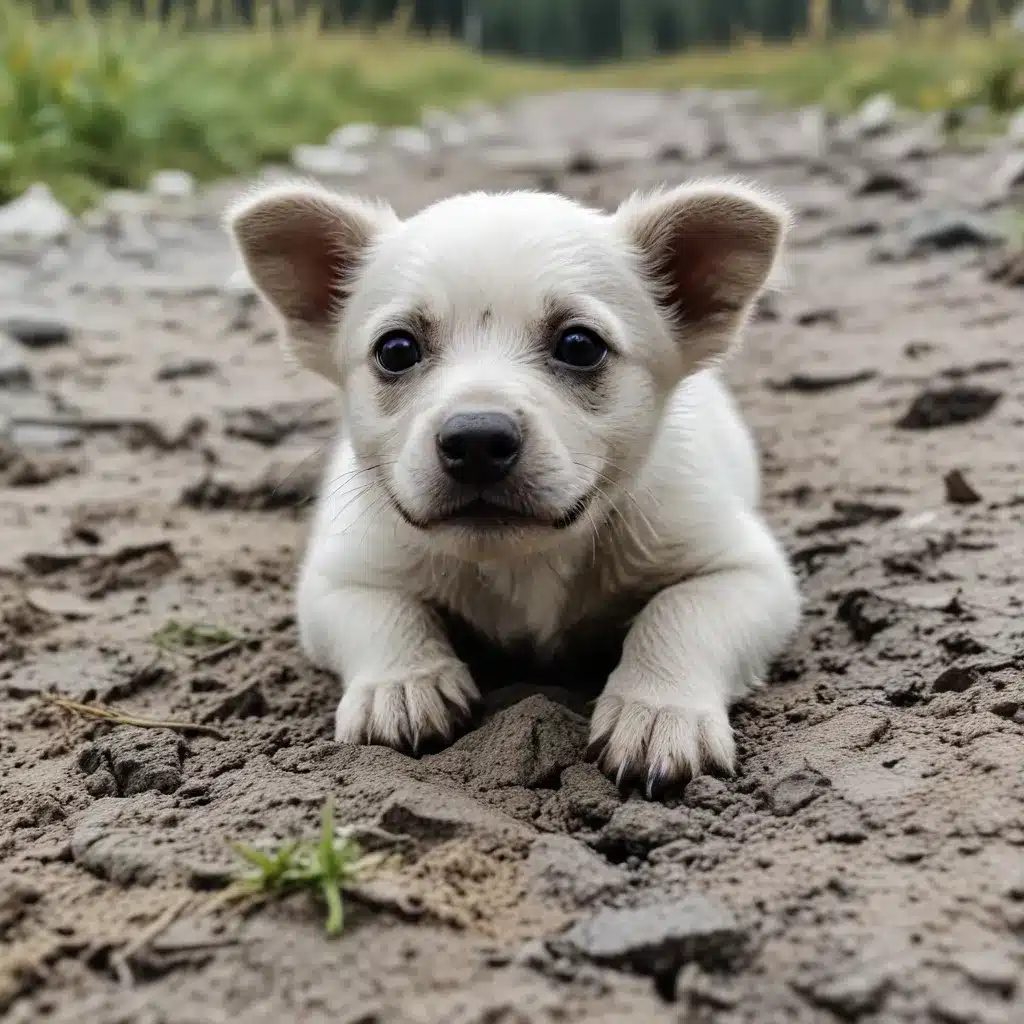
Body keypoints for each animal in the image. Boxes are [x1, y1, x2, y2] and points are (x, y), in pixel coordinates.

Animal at [226, 180, 798, 794]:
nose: (476, 439)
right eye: (396, 350)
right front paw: (401, 684)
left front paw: (659, 710)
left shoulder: (744, 571)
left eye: (579, 344)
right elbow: (385, 613)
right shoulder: (340, 577)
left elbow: (679, 613)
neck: (520, 561)